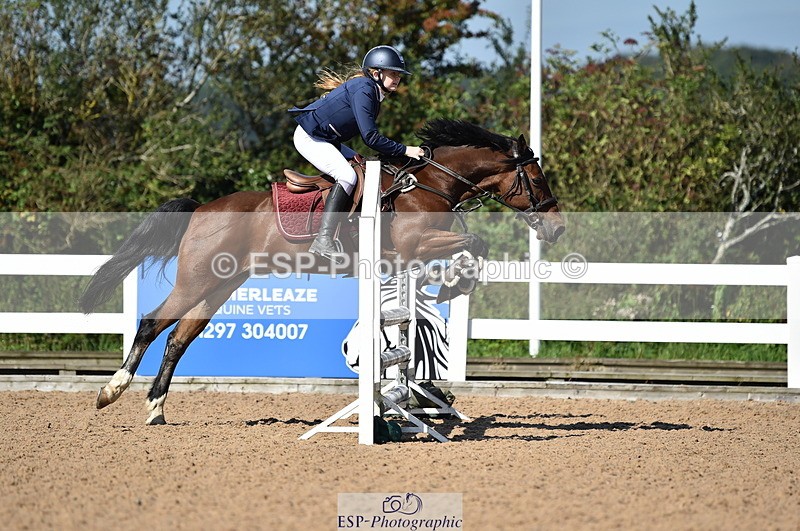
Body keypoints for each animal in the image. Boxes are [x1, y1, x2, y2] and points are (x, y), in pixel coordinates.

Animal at [79, 119, 565, 424]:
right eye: (538, 180)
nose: (556, 227)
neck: (430, 185)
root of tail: (200, 209)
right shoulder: (416, 245)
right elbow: (474, 244)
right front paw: (456, 280)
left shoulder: (409, 257)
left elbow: (469, 251)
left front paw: (454, 281)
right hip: (197, 280)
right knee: (151, 323)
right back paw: (111, 391)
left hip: (220, 285)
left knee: (179, 339)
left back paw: (157, 410)